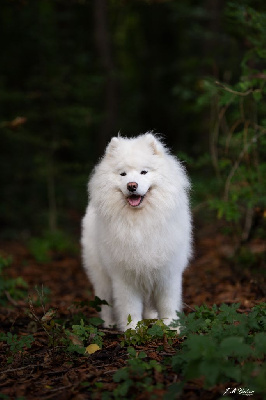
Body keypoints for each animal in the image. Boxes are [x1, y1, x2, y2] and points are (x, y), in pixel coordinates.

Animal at [81, 133, 191, 330]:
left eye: (143, 172)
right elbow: (129, 308)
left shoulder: (167, 273)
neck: (140, 220)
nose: (131, 185)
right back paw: (108, 324)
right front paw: (132, 330)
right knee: (105, 303)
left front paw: (172, 327)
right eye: (123, 174)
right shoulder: (124, 277)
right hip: (101, 276)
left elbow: (168, 304)